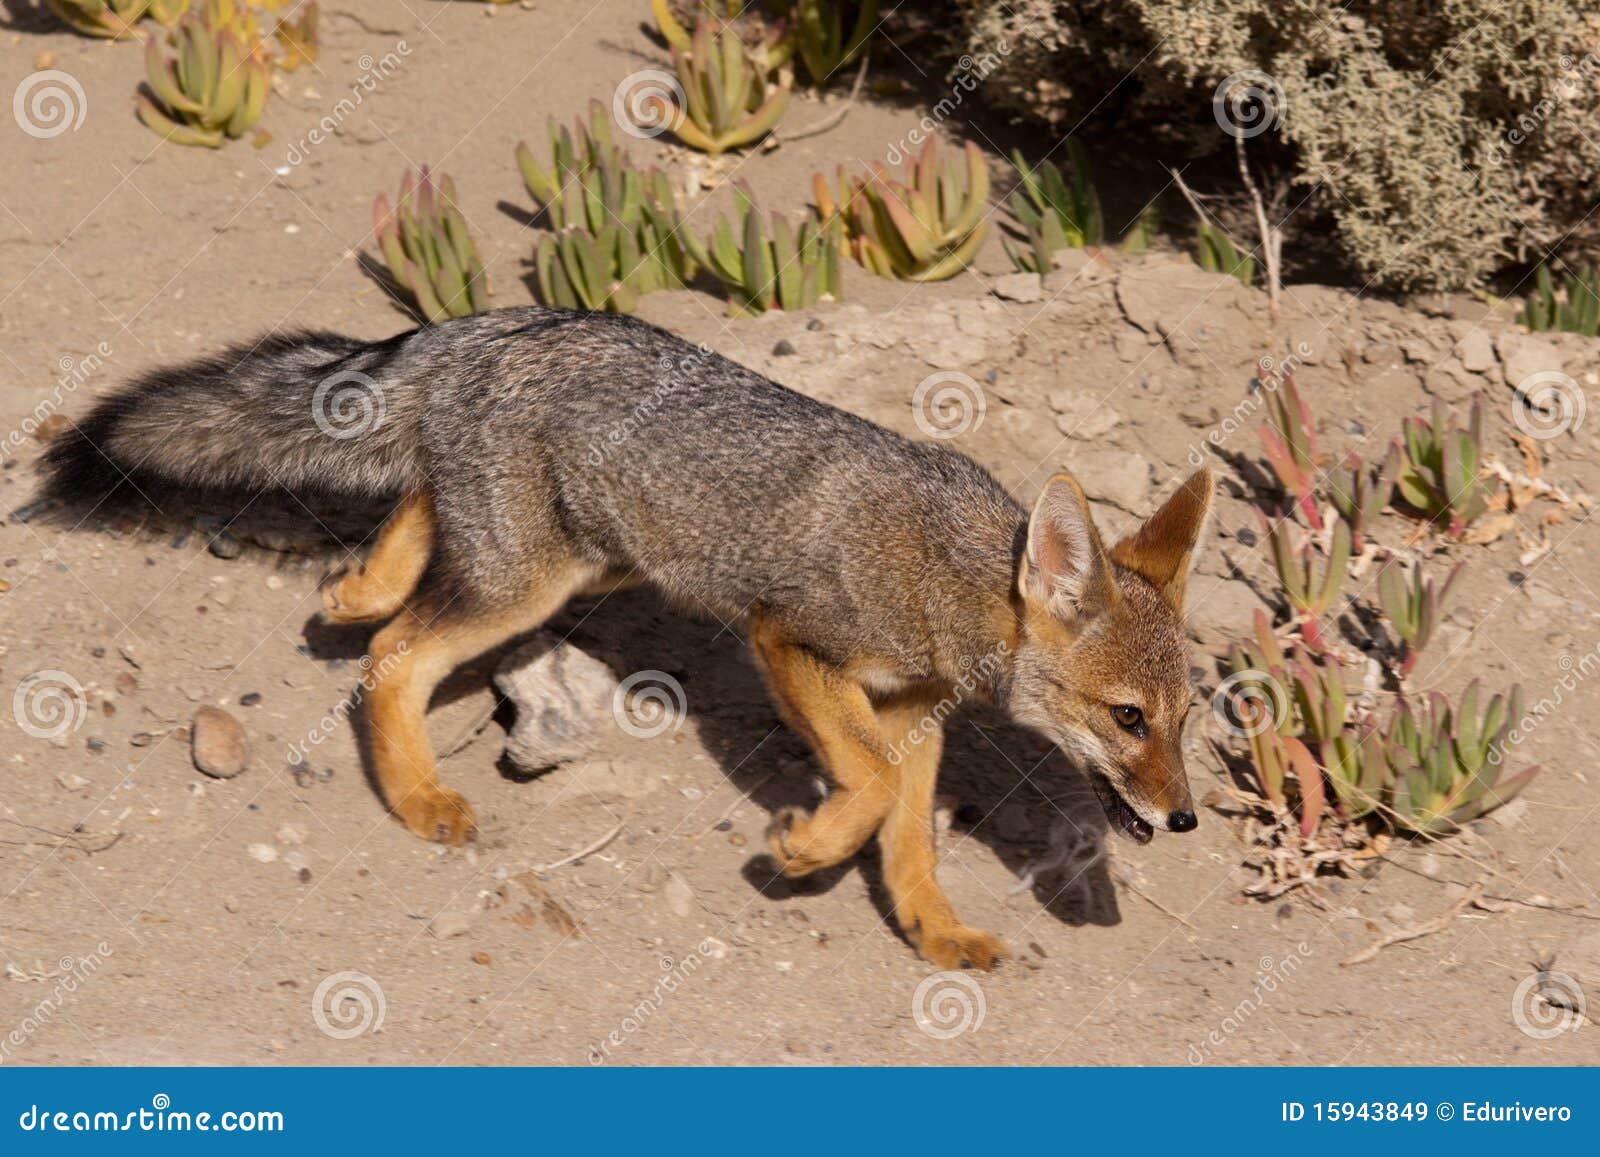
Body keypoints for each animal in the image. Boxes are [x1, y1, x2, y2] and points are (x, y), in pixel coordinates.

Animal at [37, 307, 1209, 966]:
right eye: (1127, 718)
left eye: (1188, 719)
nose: (1188, 817)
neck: (947, 578)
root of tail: (503, 322)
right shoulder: (790, 643)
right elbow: (871, 789)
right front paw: (805, 847)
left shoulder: (909, 714)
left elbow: (907, 831)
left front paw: (933, 929)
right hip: (534, 583)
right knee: (393, 659)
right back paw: (418, 793)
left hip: (575, 556)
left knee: (410, 522)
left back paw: (360, 586)